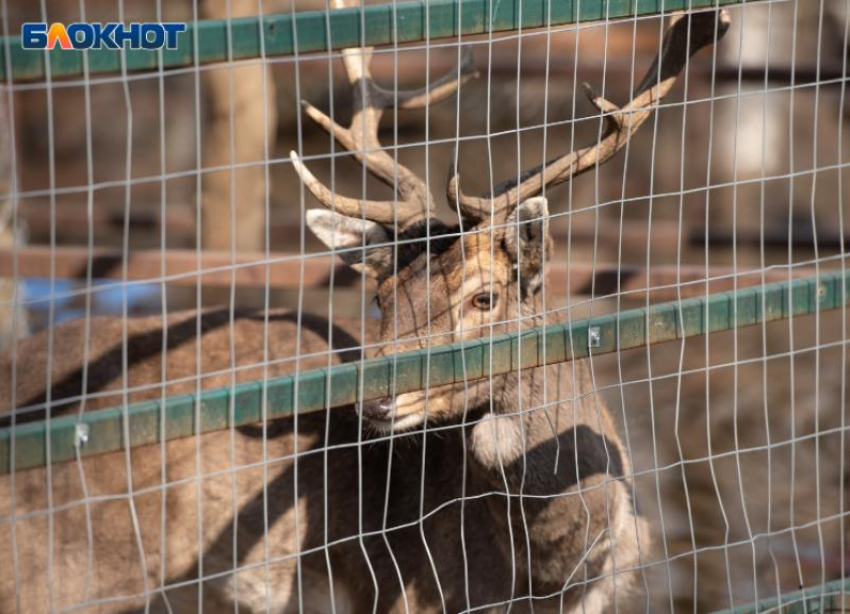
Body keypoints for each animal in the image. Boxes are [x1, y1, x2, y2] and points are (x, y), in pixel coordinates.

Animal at [1, 6, 728, 614]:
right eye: (381, 298)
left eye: (484, 296)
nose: (372, 401)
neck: (554, 567)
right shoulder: (410, 587)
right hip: (66, 572)